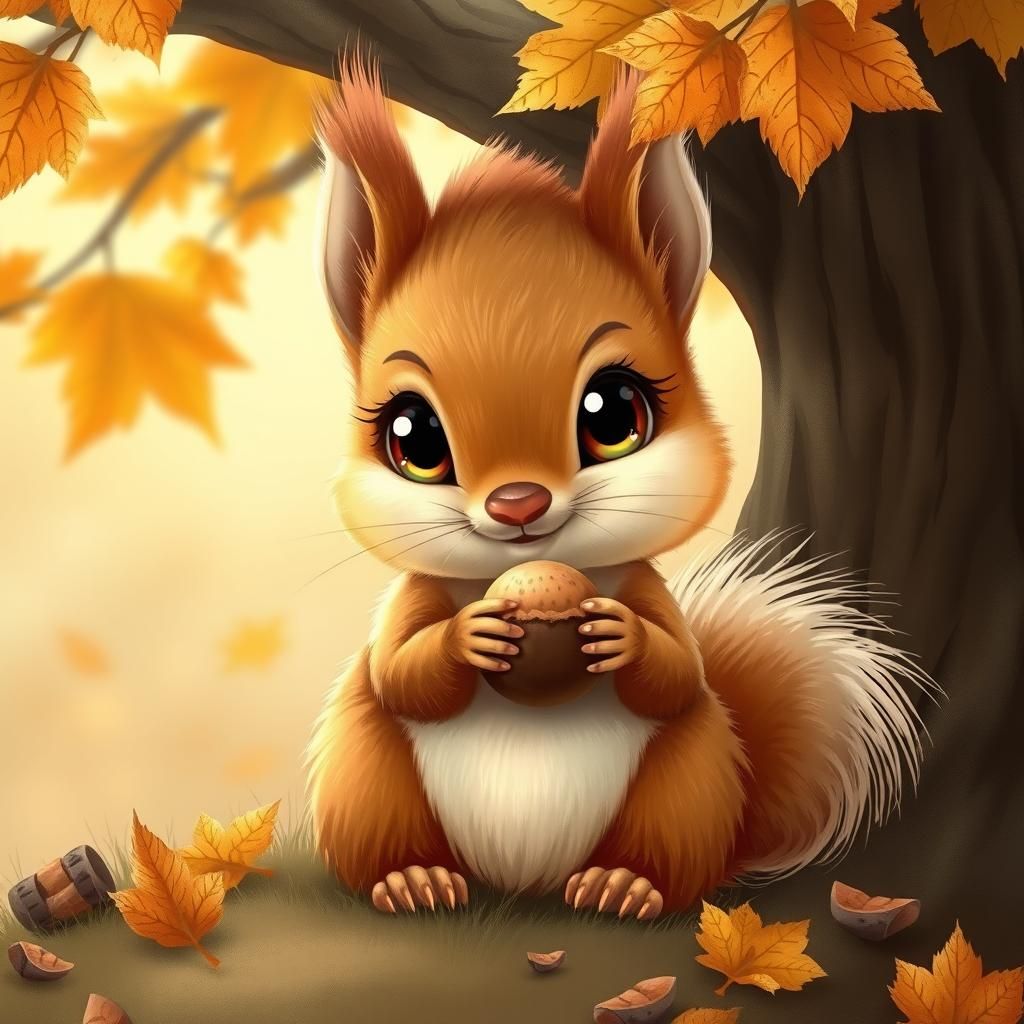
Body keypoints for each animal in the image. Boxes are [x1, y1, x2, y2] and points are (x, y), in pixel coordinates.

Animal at [305, 57, 932, 920]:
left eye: (614, 412)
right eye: (413, 437)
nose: (519, 505)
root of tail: (524, 880)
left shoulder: (644, 588)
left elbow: (676, 672)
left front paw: (621, 637)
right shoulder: (412, 600)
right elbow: (402, 671)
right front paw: (471, 636)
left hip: (689, 780)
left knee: (671, 847)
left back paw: (623, 884)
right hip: (365, 772)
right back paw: (411, 878)